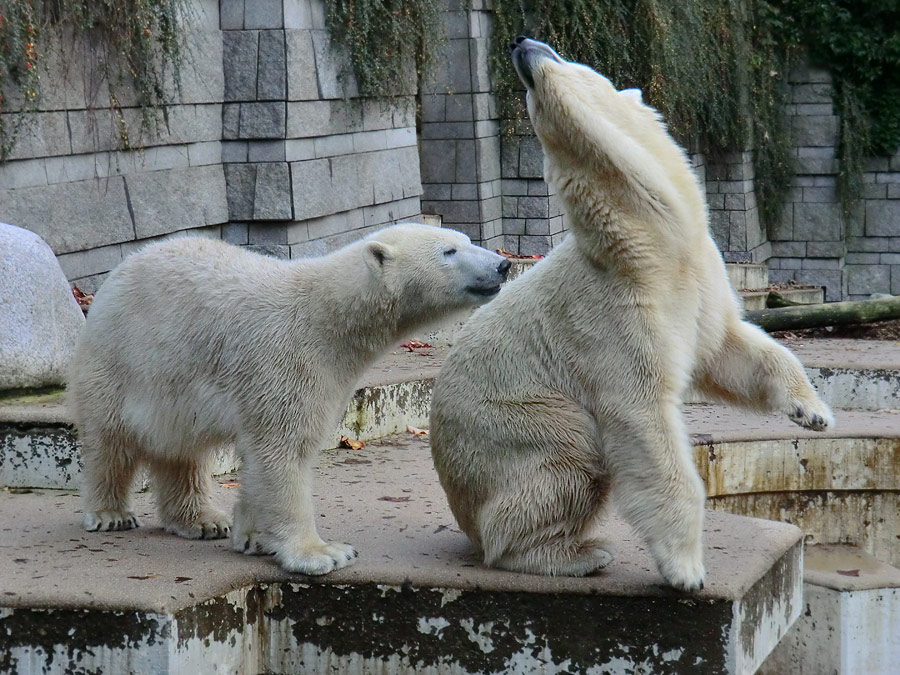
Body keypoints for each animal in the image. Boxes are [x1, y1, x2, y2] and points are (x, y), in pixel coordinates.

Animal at [69, 223, 506, 576]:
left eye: (467, 240)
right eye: (449, 251)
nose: (502, 265)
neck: (328, 318)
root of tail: (113, 277)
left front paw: (253, 536)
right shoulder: (286, 358)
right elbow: (285, 449)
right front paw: (322, 553)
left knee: (181, 450)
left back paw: (202, 521)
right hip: (122, 358)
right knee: (111, 438)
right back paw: (110, 513)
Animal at [430, 41, 836, 592]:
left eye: (562, 57)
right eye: (533, 90)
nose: (521, 45)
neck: (647, 240)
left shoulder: (697, 278)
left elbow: (727, 347)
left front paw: (811, 410)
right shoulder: (613, 307)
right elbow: (640, 416)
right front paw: (686, 569)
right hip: (509, 421)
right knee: (566, 459)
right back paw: (575, 554)